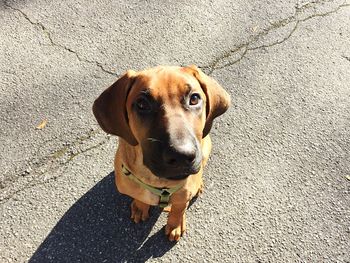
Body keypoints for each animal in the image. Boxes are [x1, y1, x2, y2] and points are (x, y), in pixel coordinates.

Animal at [92, 65, 230, 241]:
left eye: (194, 98)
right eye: (142, 104)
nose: (181, 156)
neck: (159, 183)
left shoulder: (182, 195)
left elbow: (179, 208)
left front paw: (175, 224)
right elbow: (140, 197)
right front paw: (140, 206)